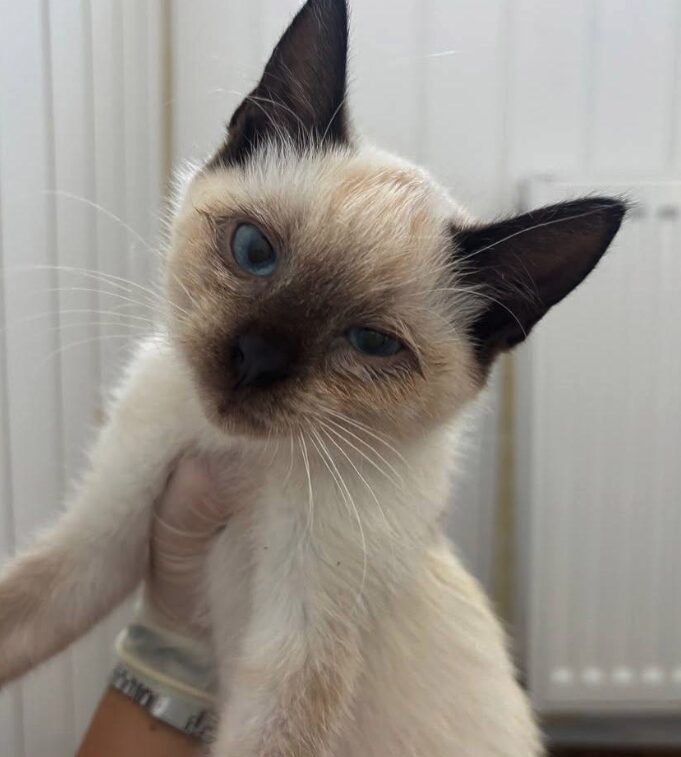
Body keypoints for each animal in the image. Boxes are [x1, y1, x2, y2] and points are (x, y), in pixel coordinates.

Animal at [0, 1, 624, 756]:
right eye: (253, 251)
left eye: (372, 343)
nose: (256, 361)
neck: (239, 458)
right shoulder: (105, 539)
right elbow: (22, 606)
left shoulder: (296, 660)